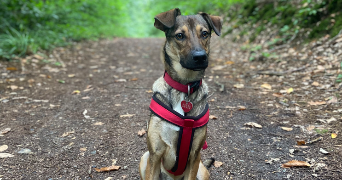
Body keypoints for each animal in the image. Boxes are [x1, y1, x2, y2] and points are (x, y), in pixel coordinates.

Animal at [139, 7, 222, 179]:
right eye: (179, 36)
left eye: (205, 33)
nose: (200, 57)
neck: (185, 87)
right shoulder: (155, 155)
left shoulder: (195, 155)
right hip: (144, 159)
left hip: (202, 171)